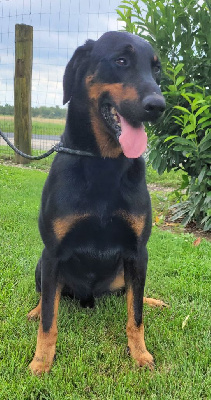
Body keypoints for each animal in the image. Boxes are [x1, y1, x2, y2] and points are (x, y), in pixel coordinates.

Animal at [28, 31, 166, 376]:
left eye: (156, 69)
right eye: (121, 60)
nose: (158, 106)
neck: (104, 163)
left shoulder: (138, 252)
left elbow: (136, 313)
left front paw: (139, 353)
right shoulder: (52, 253)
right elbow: (49, 318)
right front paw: (41, 361)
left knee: (130, 294)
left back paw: (154, 300)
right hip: (42, 264)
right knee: (48, 298)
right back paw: (34, 310)